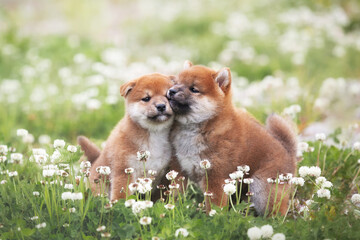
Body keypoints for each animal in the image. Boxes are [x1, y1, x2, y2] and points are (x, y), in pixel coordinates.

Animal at [78, 73, 175, 201]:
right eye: (146, 98)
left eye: (167, 96)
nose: (161, 106)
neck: (154, 134)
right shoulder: (124, 170)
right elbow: (121, 195)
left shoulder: (163, 173)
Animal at [167, 61, 296, 215]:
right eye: (176, 83)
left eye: (193, 89)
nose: (171, 91)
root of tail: (288, 152)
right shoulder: (179, 169)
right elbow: (175, 194)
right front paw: (172, 208)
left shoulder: (216, 177)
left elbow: (215, 207)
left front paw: (213, 217)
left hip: (262, 189)